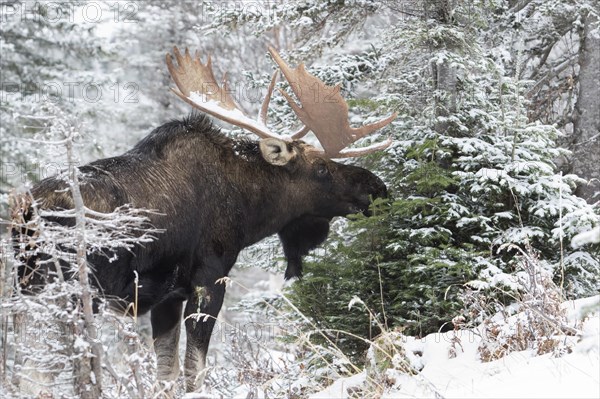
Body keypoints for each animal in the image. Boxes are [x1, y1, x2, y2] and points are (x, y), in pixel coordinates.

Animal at [12, 46, 394, 390]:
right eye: (321, 169)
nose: (378, 188)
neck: (249, 207)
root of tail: (26, 213)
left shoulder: (168, 298)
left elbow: (166, 374)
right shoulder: (209, 277)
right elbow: (195, 370)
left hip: (24, 289)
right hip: (65, 292)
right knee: (39, 371)